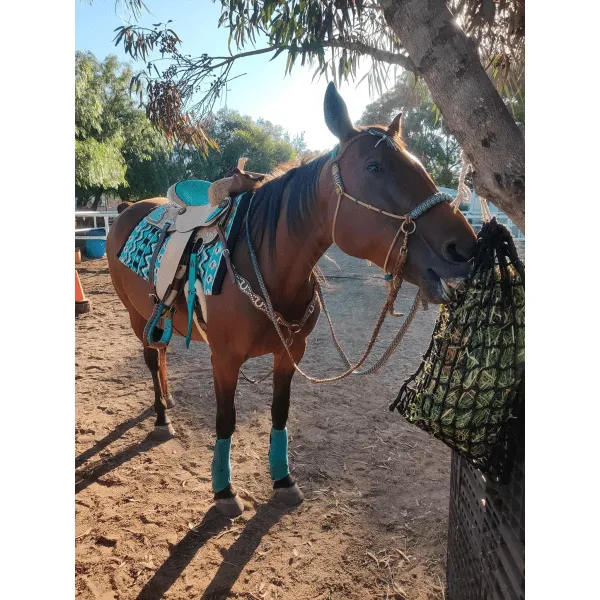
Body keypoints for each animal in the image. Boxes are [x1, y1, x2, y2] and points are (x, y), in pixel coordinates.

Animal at [106, 83, 474, 516]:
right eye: (374, 167)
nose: (463, 247)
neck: (263, 264)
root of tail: (128, 208)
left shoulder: (290, 352)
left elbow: (280, 414)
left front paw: (282, 480)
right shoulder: (224, 359)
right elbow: (226, 420)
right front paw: (224, 490)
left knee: (161, 353)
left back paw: (168, 399)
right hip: (136, 317)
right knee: (151, 357)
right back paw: (162, 417)